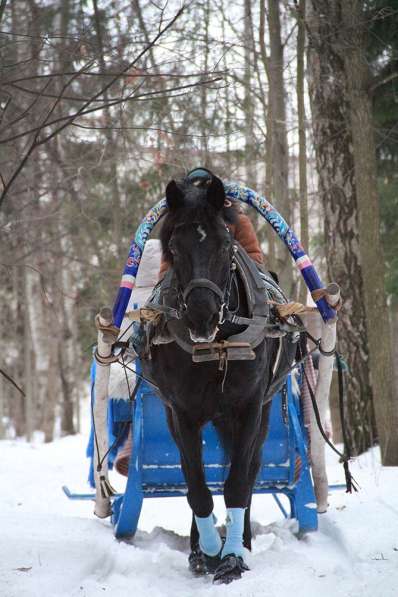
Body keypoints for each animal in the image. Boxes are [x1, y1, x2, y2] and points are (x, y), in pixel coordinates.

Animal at [141, 170, 300, 584]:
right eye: (173, 247)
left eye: (225, 244)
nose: (202, 316)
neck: (218, 348)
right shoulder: (181, 413)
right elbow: (196, 485)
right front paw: (209, 551)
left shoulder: (248, 409)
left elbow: (238, 482)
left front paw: (231, 557)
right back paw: (202, 548)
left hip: (262, 412)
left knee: (249, 471)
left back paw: (240, 541)